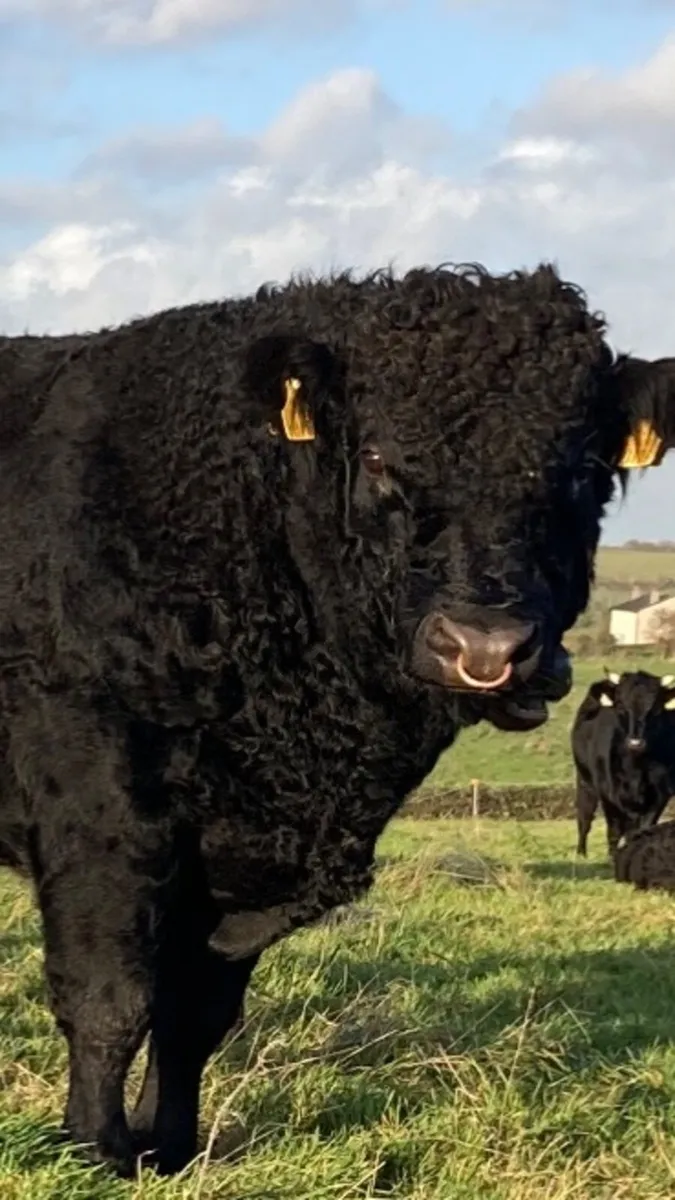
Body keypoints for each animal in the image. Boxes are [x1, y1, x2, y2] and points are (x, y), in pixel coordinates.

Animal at [572, 669, 675, 858]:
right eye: (620, 706)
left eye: (656, 708)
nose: (636, 743)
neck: (635, 770)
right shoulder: (608, 793)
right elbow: (614, 831)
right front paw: (612, 857)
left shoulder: (661, 794)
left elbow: (643, 829)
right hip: (585, 781)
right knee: (584, 816)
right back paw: (581, 853)